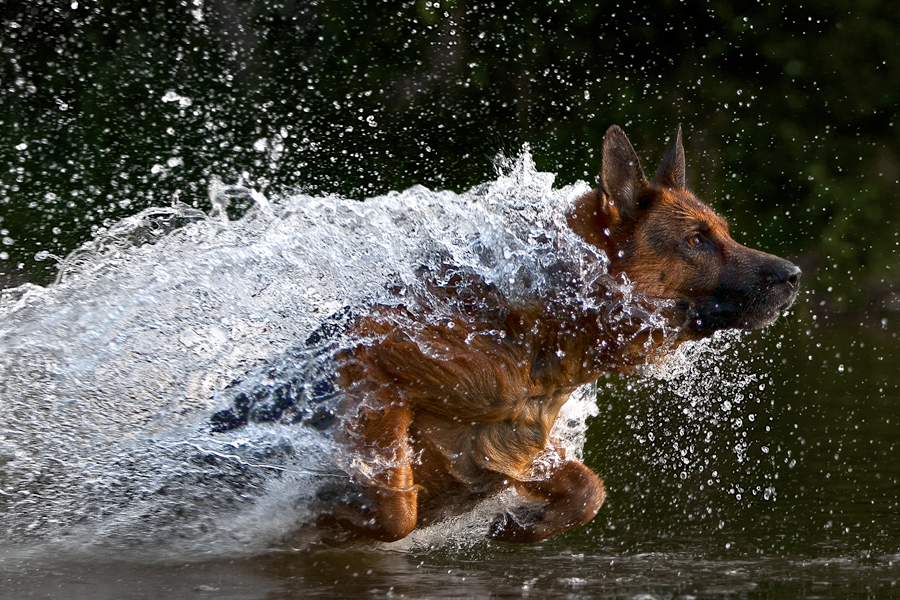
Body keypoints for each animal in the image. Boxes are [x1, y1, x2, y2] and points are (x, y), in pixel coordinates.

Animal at [243, 125, 800, 544]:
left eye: (723, 231)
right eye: (696, 241)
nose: (794, 275)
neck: (542, 328)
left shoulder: (511, 444)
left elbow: (588, 490)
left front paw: (521, 526)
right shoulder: (371, 365)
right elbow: (397, 510)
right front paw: (328, 516)